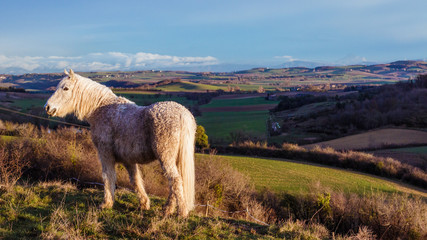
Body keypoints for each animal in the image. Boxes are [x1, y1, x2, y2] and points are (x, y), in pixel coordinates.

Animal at [44, 69, 196, 218]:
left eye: (65, 88)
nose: (48, 107)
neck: (101, 108)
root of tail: (182, 113)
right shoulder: (128, 160)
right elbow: (135, 180)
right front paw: (144, 204)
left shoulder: (105, 154)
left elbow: (108, 176)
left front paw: (106, 204)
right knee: (176, 182)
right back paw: (167, 209)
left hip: (166, 158)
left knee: (175, 180)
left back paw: (181, 213)